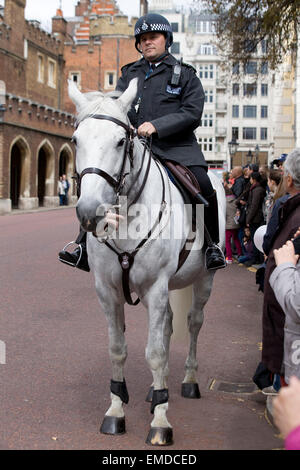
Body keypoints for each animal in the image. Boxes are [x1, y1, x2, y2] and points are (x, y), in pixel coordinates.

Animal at [68, 77, 225, 444]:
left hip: (204, 280)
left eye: (120, 140)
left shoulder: (155, 288)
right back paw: (157, 391)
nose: (90, 212)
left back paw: (187, 382)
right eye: (76, 140)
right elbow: (118, 349)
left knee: (193, 323)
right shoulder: (107, 290)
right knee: (167, 326)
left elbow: (154, 353)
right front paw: (116, 411)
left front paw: (160, 422)